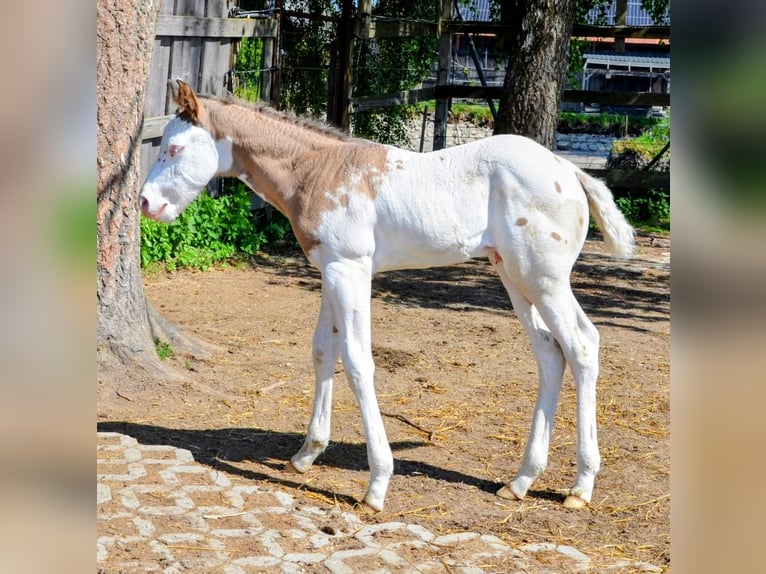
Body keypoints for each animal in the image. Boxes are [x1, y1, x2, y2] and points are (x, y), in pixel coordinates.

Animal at [140, 79, 635, 512]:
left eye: (174, 149)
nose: (146, 203)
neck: (316, 170)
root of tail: (569, 170)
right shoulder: (331, 269)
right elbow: (324, 351)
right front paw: (306, 454)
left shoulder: (352, 270)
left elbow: (359, 362)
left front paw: (376, 484)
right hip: (514, 276)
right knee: (551, 353)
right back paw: (521, 480)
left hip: (543, 277)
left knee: (582, 345)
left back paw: (580, 486)